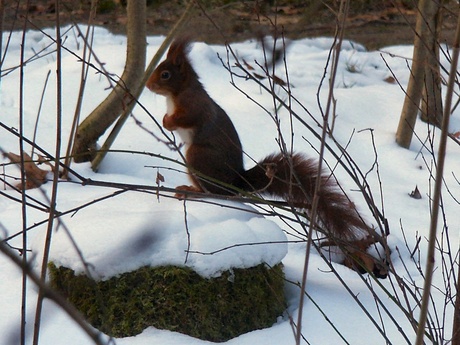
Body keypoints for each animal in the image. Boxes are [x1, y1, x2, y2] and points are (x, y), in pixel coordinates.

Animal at [146, 37, 386, 276]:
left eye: (165, 74)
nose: (147, 85)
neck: (177, 94)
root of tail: (236, 182)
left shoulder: (195, 107)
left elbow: (189, 119)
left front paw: (168, 122)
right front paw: (165, 120)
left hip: (197, 156)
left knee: (215, 193)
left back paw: (193, 191)